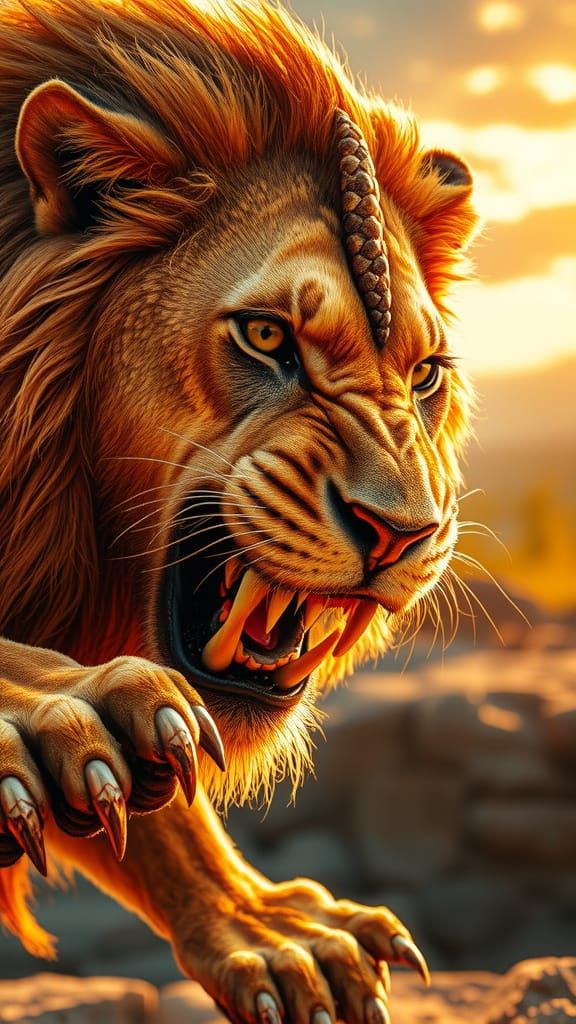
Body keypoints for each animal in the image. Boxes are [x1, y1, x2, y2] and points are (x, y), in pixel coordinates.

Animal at [0, 0, 479, 1018]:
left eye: (424, 374)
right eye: (266, 336)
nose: (404, 533)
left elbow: (163, 788)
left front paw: (272, 932)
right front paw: (57, 712)